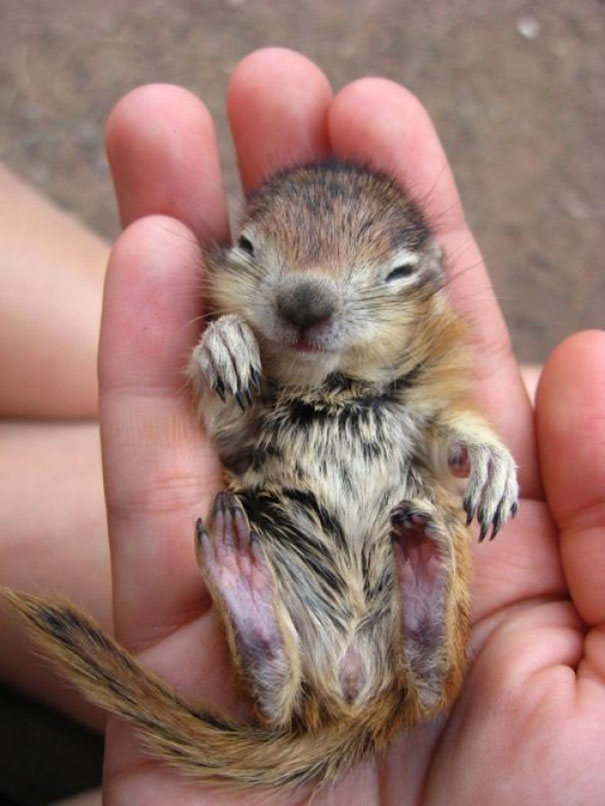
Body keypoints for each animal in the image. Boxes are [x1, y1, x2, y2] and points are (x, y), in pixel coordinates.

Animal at [2, 160, 519, 792]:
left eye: (399, 271)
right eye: (248, 245)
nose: (304, 303)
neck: (330, 388)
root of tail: (352, 696)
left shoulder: (421, 408)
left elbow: (450, 434)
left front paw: (493, 467)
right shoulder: (239, 430)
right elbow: (222, 406)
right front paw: (226, 342)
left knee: (430, 687)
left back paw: (423, 563)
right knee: (278, 695)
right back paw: (241, 576)